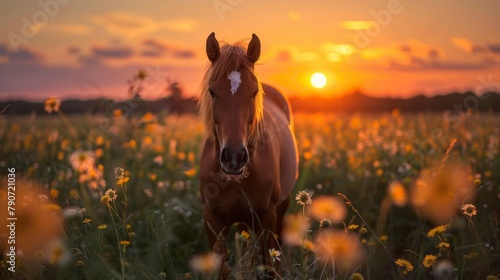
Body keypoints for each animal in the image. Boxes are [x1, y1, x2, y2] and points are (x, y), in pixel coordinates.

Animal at [198, 31, 300, 278]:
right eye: (212, 91)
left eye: (254, 92)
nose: (234, 156)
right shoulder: (212, 218)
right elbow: (221, 269)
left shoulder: (267, 217)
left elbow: (268, 264)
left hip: (281, 207)